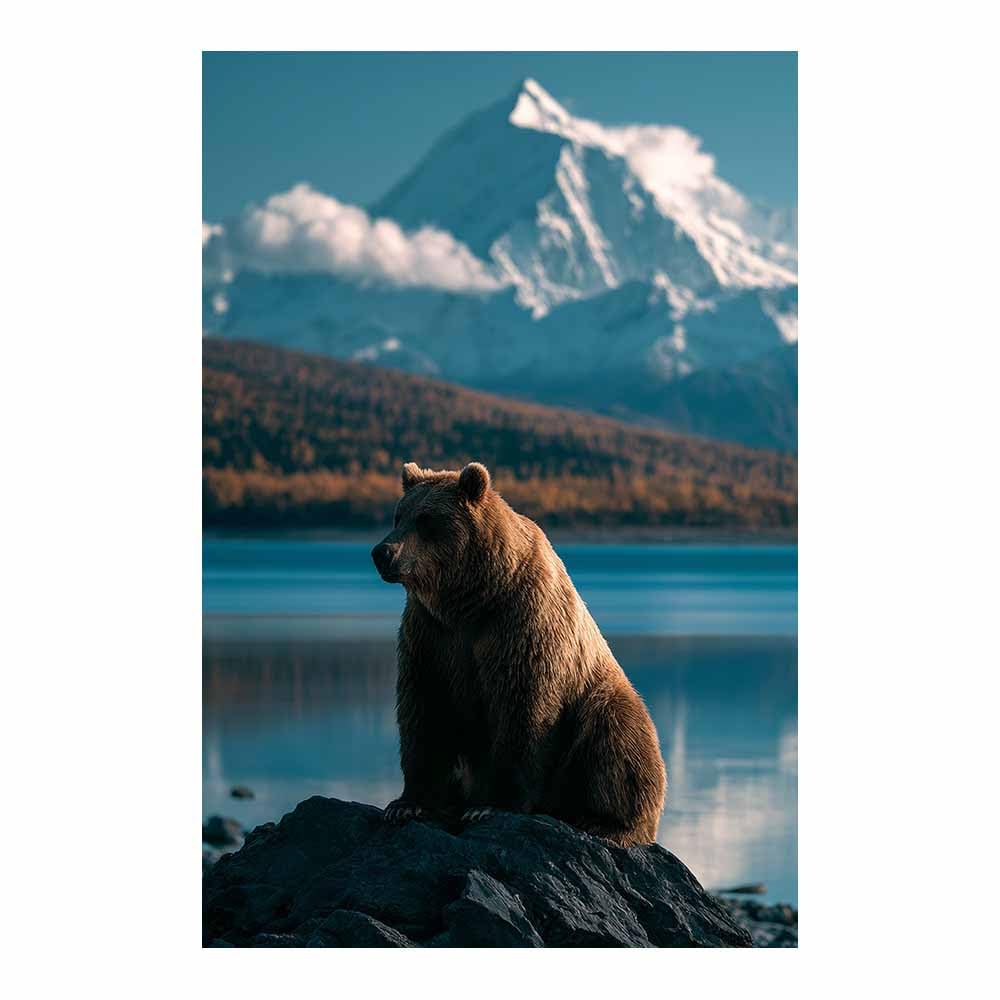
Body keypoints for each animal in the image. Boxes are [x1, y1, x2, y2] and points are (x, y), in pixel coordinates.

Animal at [371, 461, 667, 847]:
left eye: (426, 520)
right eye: (398, 515)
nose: (382, 552)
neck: (470, 600)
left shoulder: (520, 622)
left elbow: (522, 706)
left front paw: (490, 805)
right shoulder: (429, 634)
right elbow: (425, 708)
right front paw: (408, 803)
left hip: (601, 701)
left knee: (617, 738)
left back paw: (606, 823)